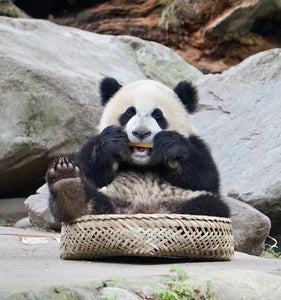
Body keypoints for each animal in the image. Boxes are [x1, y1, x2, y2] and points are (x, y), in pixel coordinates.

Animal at [46, 77, 229, 223]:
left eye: (157, 115)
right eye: (129, 112)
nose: (141, 133)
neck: (142, 164)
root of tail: (140, 210)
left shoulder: (196, 144)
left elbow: (205, 178)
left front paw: (171, 149)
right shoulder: (92, 143)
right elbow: (91, 171)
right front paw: (111, 143)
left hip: (182, 200)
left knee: (210, 206)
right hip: (111, 197)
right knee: (91, 199)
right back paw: (68, 185)